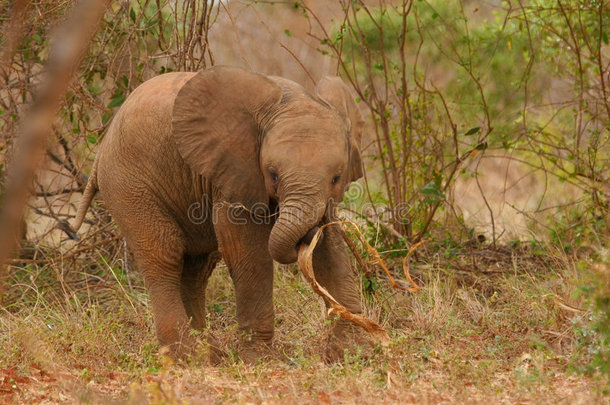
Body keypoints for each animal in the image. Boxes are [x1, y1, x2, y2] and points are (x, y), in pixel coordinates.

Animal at [71, 64, 366, 362]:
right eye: (272, 174)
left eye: (337, 178)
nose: (306, 235)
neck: (293, 98)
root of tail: (101, 148)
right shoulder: (234, 171)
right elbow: (246, 250)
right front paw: (258, 359)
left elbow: (331, 249)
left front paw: (351, 352)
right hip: (127, 185)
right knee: (164, 255)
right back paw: (185, 357)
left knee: (196, 268)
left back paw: (209, 352)